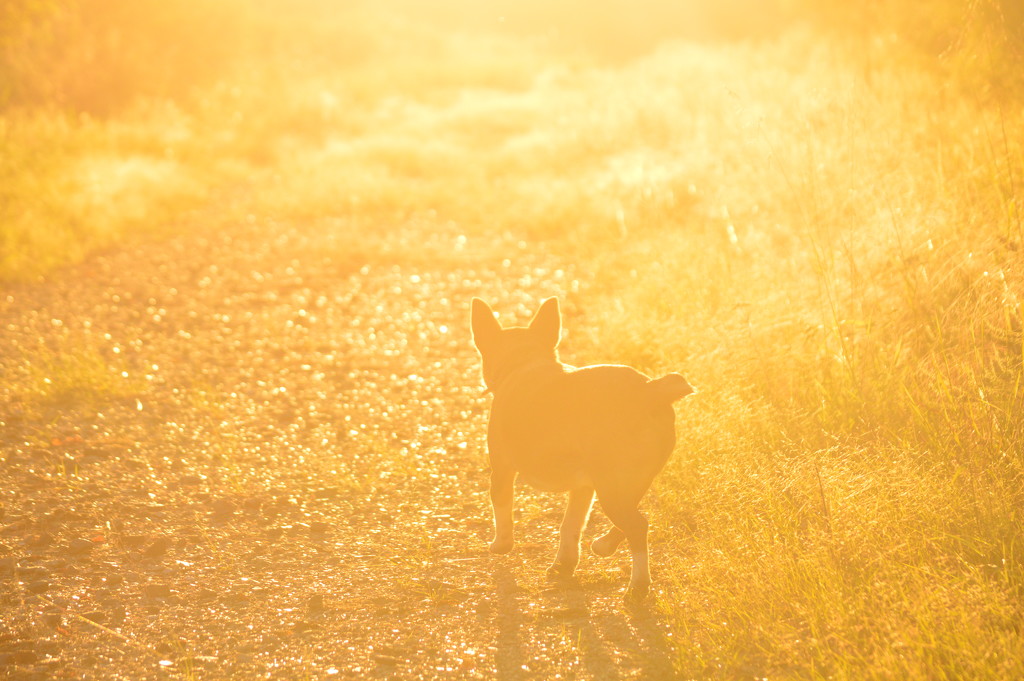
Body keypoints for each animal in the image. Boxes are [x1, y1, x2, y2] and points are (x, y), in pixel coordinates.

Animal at [473, 296, 696, 593]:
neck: (523, 361)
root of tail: (651, 390)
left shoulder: (501, 470)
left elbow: (501, 508)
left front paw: (501, 545)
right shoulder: (583, 487)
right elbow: (571, 525)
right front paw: (564, 565)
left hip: (612, 485)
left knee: (638, 526)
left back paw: (637, 585)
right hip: (628, 481)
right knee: (637, 518)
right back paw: (604, 545)